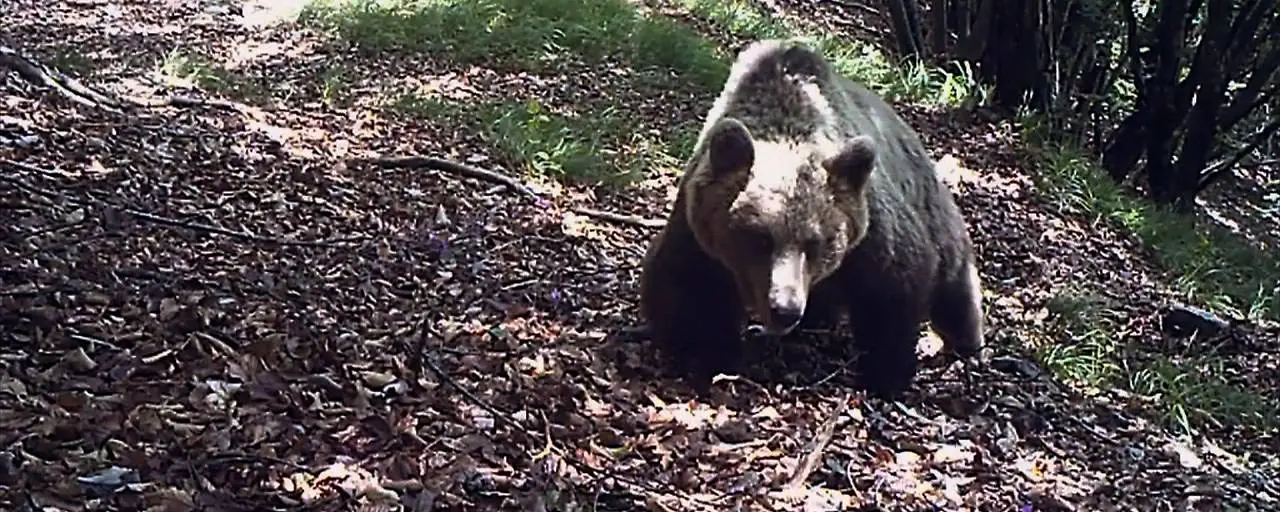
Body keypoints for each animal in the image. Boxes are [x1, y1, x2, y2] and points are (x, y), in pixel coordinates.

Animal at [637, 40, 977, 399]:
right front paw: (705, 354)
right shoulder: (698, 232)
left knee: (956, 287)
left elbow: (895, 288)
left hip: (935, 214)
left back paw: (967, 343)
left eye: (816, 242)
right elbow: (688, 287)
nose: (785, 308)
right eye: (758, 238)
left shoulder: (870, 238)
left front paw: (884, 374)